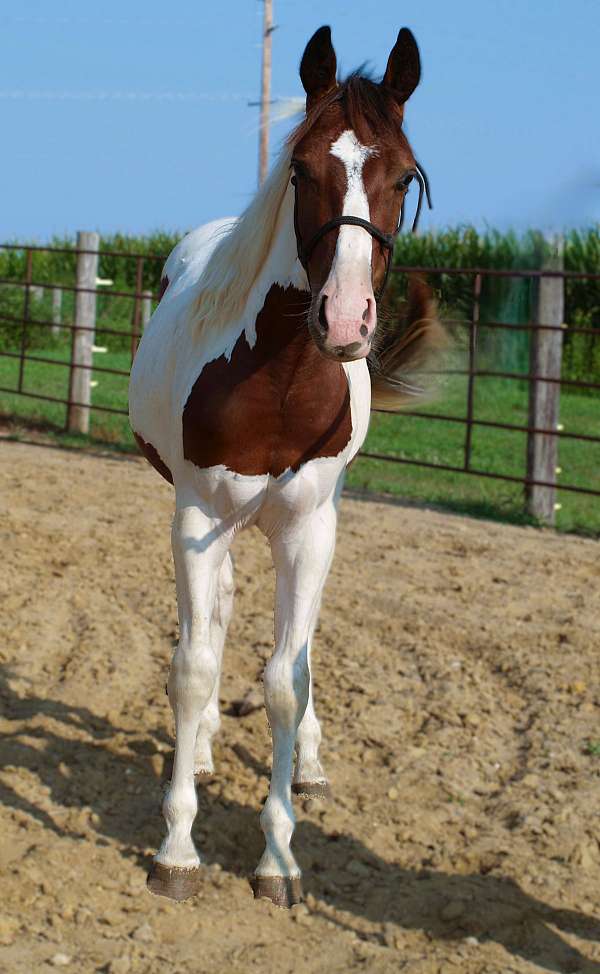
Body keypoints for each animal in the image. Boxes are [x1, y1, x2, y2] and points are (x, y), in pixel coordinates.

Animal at [129, 24, 441, 908]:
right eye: (301, 169)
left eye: (404, 175)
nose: (343, 320)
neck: (280, 385)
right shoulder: (197, 516)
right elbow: (194, 665)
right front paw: (177, 848)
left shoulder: (308, 528)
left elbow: (283, 681)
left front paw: (278, 858)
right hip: (218, 523)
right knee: (217, 619)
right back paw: (199, 748)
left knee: (295, 647)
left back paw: (309, 763)